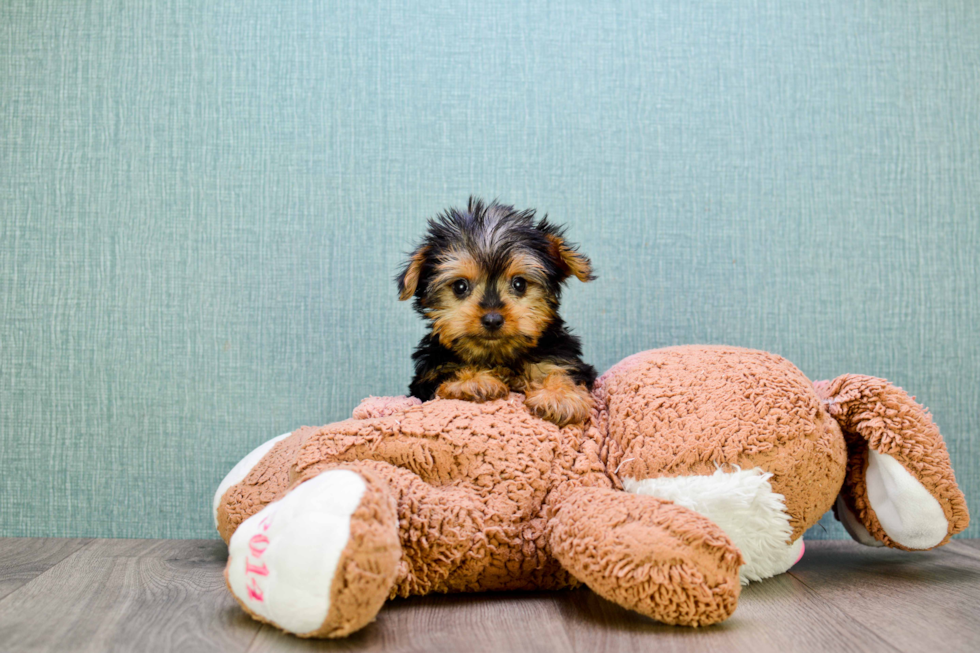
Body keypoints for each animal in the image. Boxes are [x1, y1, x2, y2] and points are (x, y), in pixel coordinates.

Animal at [398, 196, 596, 426]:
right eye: (460, 286)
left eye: (519, 284)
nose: (492, 319)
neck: (497, 357)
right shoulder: (430, 373)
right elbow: (448, 374)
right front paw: (473, 381)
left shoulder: (559, 357)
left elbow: (562, 372)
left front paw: (559, 396)